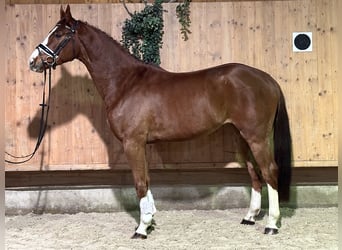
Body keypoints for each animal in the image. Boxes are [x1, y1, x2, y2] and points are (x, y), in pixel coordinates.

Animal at [29, 5, 292, 238]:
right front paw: (150, 219)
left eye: (59, 34)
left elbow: (139, 183)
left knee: (269, 170)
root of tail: (266, 78)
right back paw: (250, 217)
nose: (33, 61)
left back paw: (272, 225)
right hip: (242, 138)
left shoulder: (132, 143)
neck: (125, 82)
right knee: (255, 172)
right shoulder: (141, 145)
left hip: (257, 137)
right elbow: (146, 179)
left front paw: (142, 228)